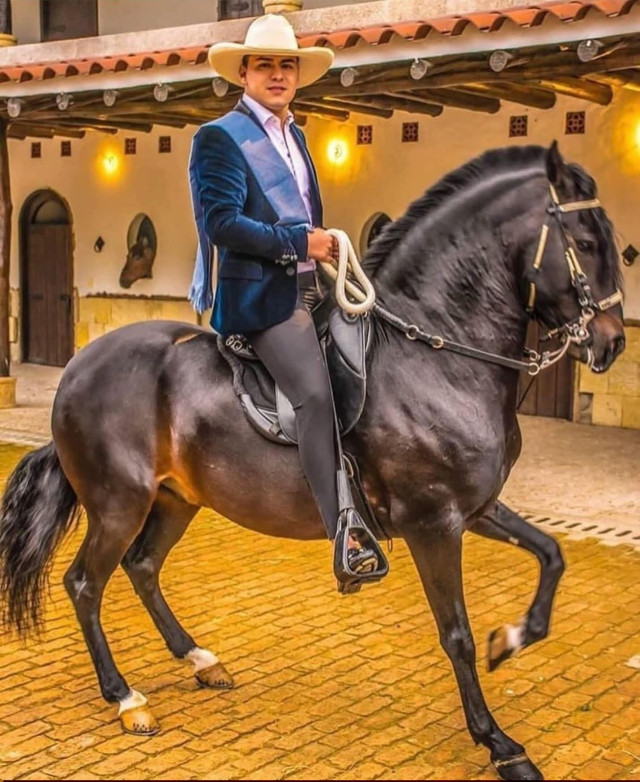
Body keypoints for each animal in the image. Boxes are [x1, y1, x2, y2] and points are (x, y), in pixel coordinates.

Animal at [0, 142, 625, 781]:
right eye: (587, 241)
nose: (611, 341)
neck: (435, 356)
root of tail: (78, 367)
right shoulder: (433, 523)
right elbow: (457, 634)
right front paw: (499, 743)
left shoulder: (476, 508)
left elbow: (552, 555)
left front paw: (516, 637)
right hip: (119, 504)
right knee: (84, 584)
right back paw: (126, 698)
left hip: (176, 499)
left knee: (143, 567)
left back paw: (199, 659)